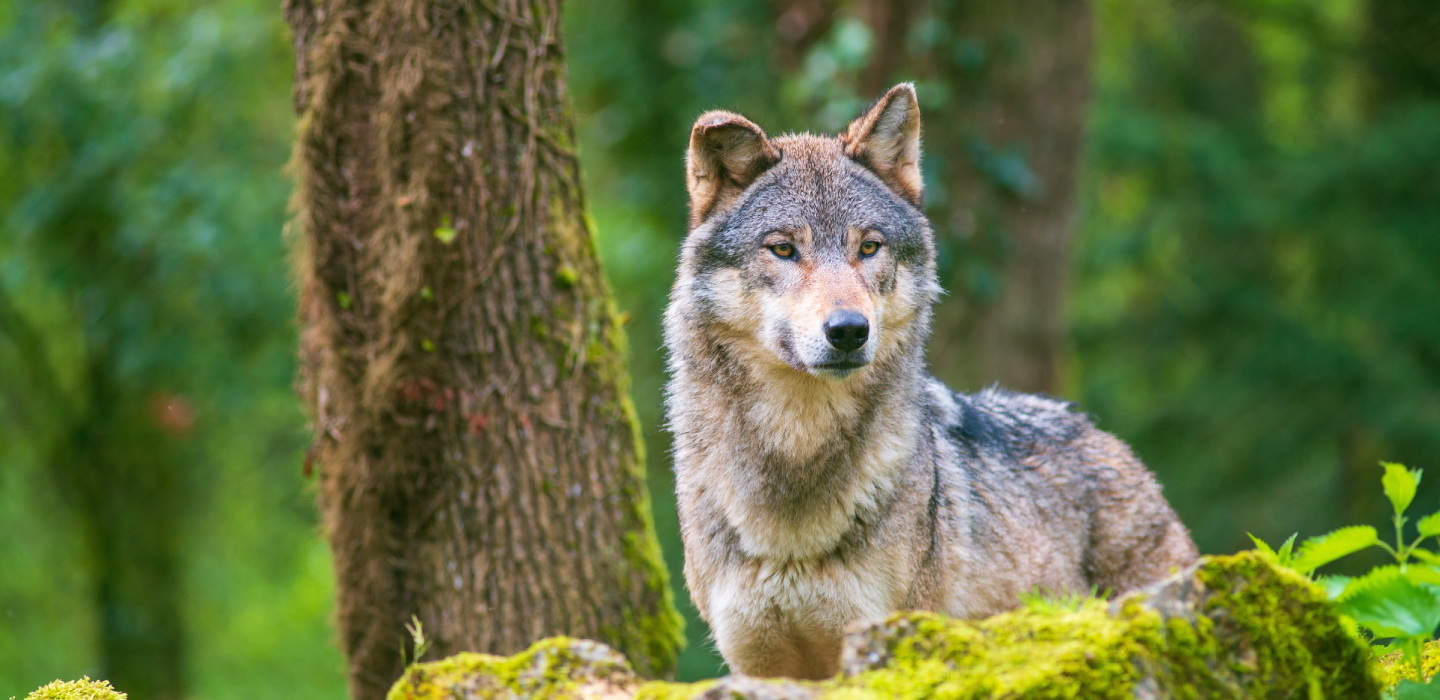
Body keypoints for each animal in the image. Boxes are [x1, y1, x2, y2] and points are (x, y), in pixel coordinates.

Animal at [662, 83, 1199, 680]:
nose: (849, 331)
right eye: (783, 249)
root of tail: (1098, 434)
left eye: (868, 247)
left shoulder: (886, 643)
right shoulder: (758, 667)